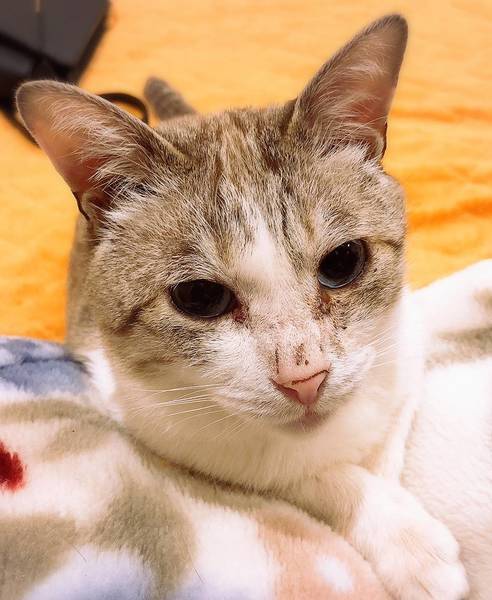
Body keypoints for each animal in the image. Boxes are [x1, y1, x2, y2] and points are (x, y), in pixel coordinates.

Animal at [17, 14, 487, 599]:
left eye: (343, 262)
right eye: (200, 298)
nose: (304, 378)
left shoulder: (404, 350)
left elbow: (387, 439)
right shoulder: (171, 436)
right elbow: (311, 476)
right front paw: (403, 536)